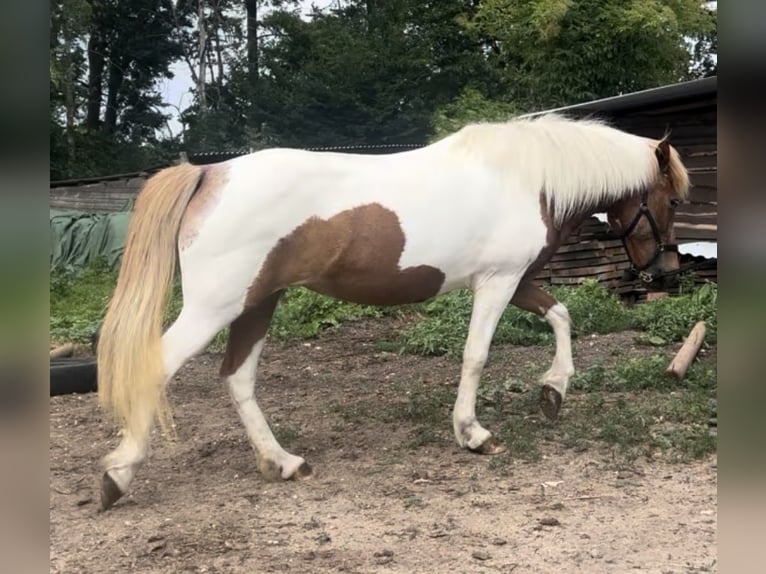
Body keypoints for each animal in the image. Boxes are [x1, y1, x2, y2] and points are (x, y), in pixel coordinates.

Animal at [96, 114, 689, 510]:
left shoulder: (514, 281)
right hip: (215, 307)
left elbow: (561, 315)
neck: (525, 178)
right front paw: (473, 433)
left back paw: (282, 462)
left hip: (256, 303)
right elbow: (476, 356)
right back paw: (117, 476)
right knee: (157, 367)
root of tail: (210, 174)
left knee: (238, 377)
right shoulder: (497, 283)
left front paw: (554, 390)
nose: (667, 272)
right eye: (672, 200)